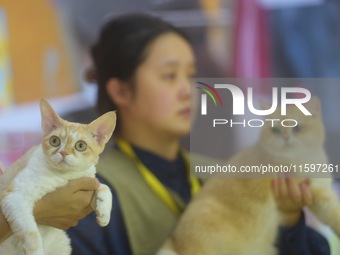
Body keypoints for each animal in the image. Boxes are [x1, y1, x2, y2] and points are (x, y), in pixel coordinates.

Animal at [0, 99, 116, 255]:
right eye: (54, 141)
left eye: (81, 145)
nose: (63, 152)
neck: (64, 176)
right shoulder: (14, 197)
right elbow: (31, 234)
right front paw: (36, 251)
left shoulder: (87, 178)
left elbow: (104, 186)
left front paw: (104, 213)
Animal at [158, 96, 338, 254]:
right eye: (275, 130)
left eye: (297, 128)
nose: (285, 138)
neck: (303, 158)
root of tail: (174, 239)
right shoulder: (316, 191)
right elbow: (337, 214)